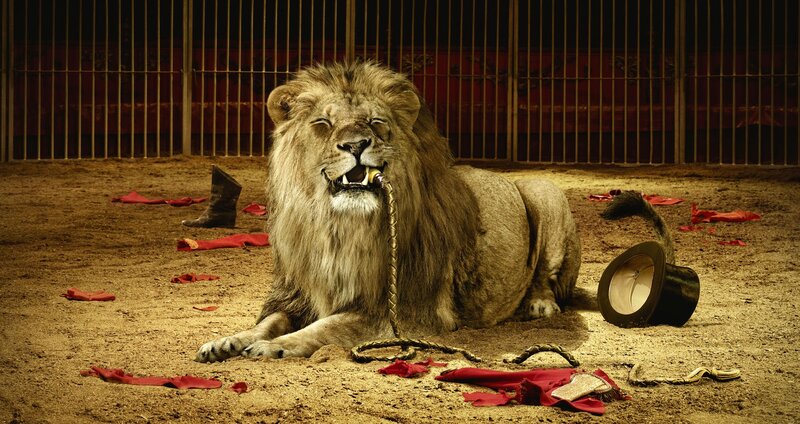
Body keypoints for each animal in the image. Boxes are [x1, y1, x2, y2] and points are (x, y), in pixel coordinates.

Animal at [195, 61, 581, 362]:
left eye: (375, 122)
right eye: (323, 123)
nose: (355, 145)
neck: (339, 228)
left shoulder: (405, 311)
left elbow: (327, 327)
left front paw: (275, 346)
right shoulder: (296, 294)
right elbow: (267, 322)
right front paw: (227, 341)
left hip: (545, 192)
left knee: (546, 276)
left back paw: (540, 305)